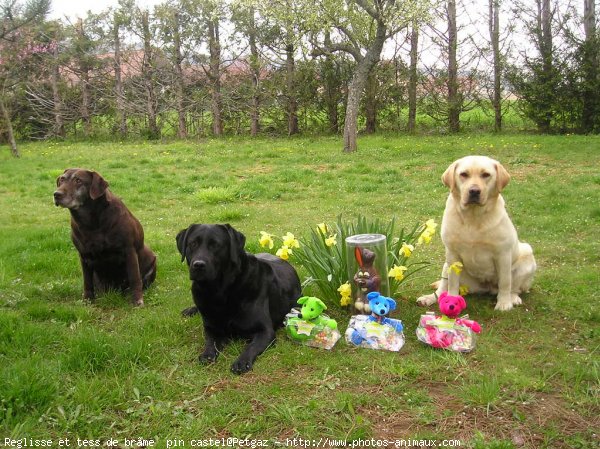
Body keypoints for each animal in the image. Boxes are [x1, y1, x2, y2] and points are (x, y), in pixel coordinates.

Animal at [54, 168, 156, 304]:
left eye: (78, 180)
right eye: (62, 179)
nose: (56, 194)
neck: (91, 223)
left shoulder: (129, 250)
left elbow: (135, 278)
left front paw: (137, 301)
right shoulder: (83, 255)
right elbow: (87, 282)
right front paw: (87, 300)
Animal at [177, 222, 300, 372]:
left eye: (216, 245)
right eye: (193, 243)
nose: (198, 265)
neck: (220, 292)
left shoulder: (265, 331)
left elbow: (251, 346)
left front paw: (242, 361)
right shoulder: (211, 327)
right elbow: (210, 342)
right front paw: (207, 354)